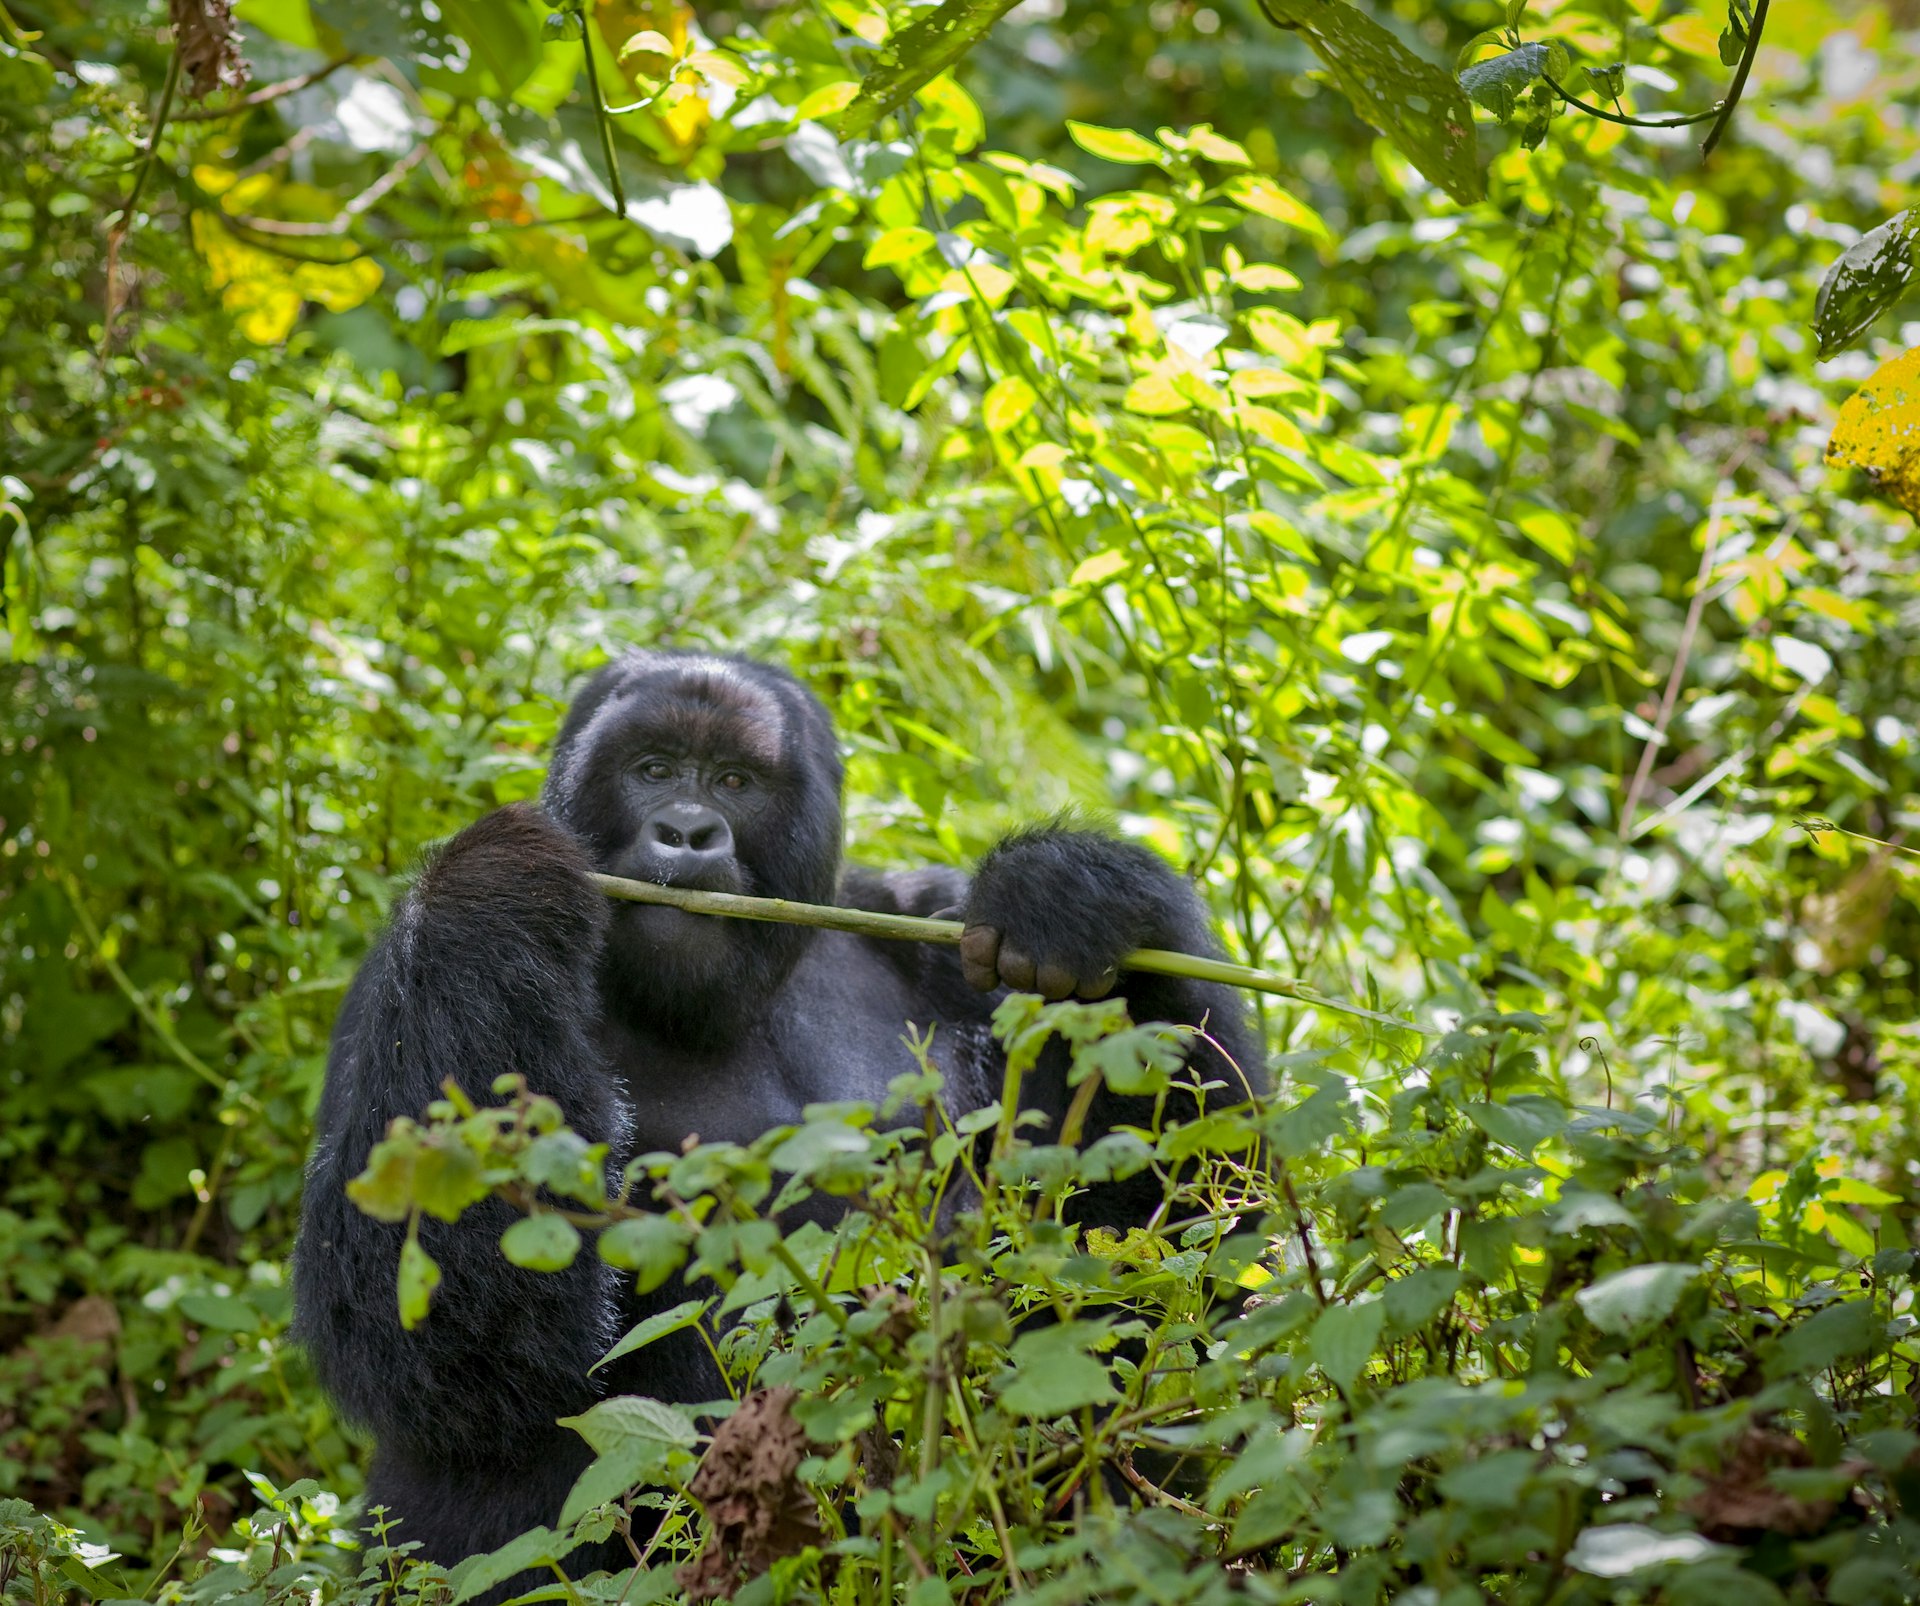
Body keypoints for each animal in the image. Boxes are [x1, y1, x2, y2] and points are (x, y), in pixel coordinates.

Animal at [291, 657, 1259, 1582]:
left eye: (735, 781)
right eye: (652, 770)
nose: (687, 831)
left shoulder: (933, 917)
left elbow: (1152, 1269)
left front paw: (1070, 891)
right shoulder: (395, 982)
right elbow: (426, 1342)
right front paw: (495, 894)